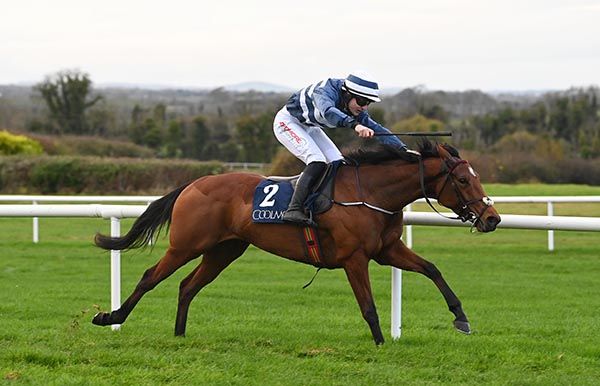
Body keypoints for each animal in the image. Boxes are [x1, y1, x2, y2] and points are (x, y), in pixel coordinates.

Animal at [90, 140, 502, 346]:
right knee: (150, 277)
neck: (370, 194)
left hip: (224, 250)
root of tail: (192, 184)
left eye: (475, 176)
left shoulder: (387, 251)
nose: (492, 218)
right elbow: (368, 306)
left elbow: (433, 269)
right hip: (185, 245)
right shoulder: (355, 258)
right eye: (462, 180)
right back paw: (110, 317)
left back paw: (179, 335)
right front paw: (380, 343)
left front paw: (461, 317)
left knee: (188, 286)